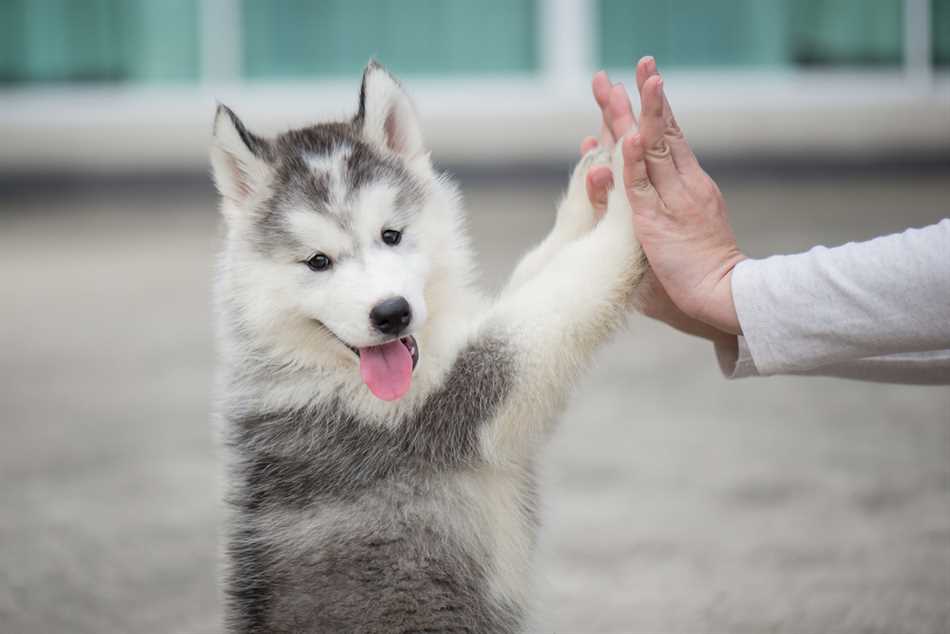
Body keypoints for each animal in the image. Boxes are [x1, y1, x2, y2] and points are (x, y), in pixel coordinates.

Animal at [215, 60, 648, 632]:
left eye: (392, 235)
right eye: (317, 262)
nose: (391, 313)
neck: (322, 368)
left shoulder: (470, 331)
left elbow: (541, 269)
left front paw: (592, 186)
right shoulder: (465, 397)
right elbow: (561, 294)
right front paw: (633, 191)